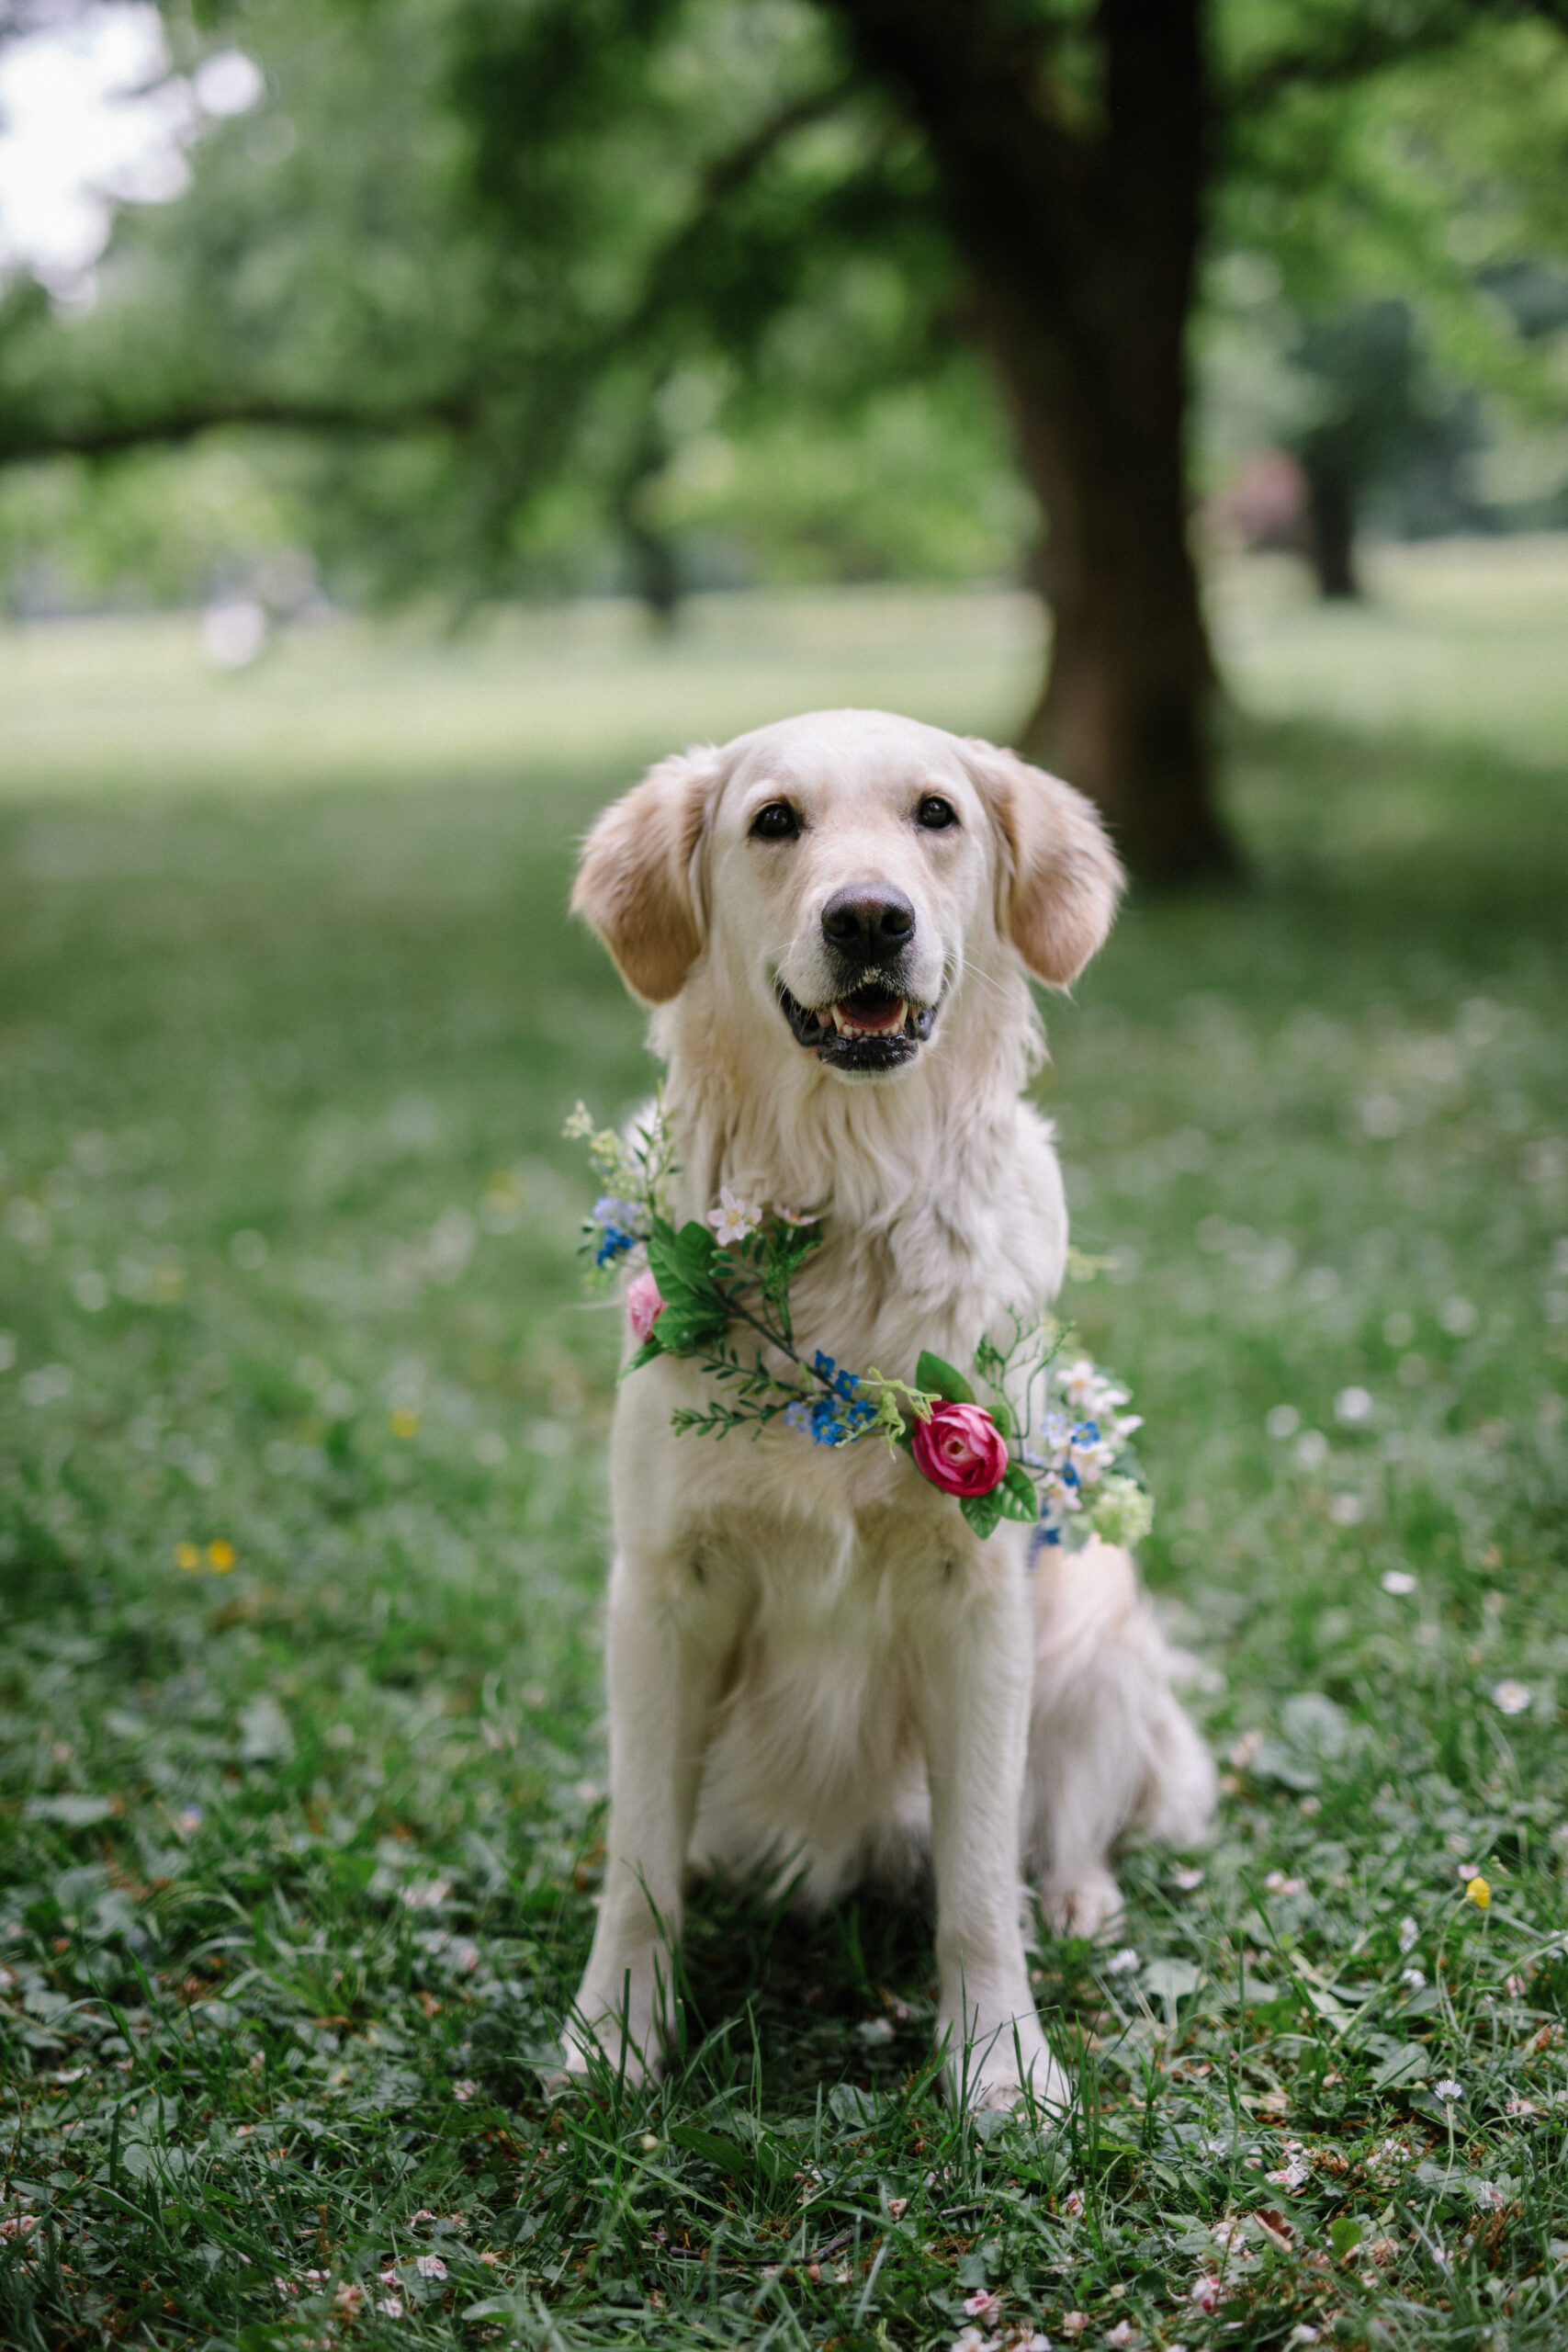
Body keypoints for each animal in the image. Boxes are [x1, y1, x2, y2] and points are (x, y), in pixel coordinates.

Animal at [564, 706, 1213, 2107]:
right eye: (773, 821)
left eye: (935, 814)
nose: (870, 918)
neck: (846, 1199)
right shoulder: (662, 1587)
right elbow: (637, 1859)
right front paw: (615, 2036)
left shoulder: (975, 1594)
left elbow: (975, 1874)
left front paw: (1000, 2067)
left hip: (1096, 1628)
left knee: (1068, 1825)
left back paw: (1082, 1904)